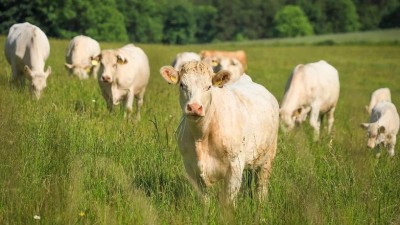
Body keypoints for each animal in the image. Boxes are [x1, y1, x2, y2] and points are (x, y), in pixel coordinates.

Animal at [159, 60, 278, 205]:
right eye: (182, 85)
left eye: (209, 86)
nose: (194, 107)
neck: (201, 136)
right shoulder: (191, 166)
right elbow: (205, 199)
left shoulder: (235, 165)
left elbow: (228, 201)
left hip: (268, 156)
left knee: (261, 185)